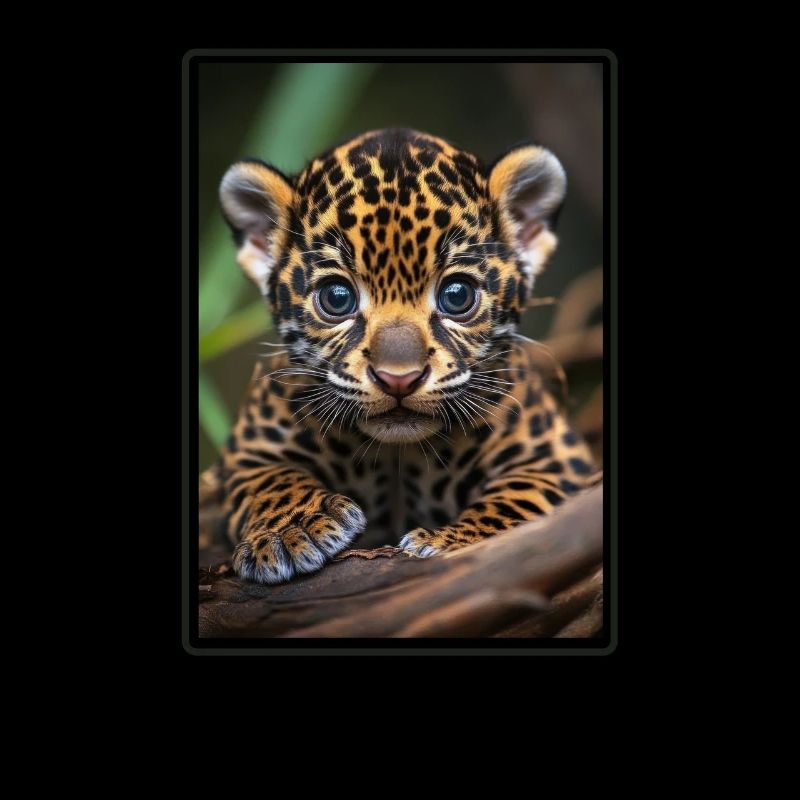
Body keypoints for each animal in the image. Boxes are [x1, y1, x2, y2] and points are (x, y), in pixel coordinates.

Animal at [206, 128, 599, 584]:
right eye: (337, 298)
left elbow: (520, 497)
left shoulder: (557, 458)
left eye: (457, 295)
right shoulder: (246, 452)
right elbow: (269, 479)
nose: (399, 379)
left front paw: (449, 540)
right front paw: (292, 529)